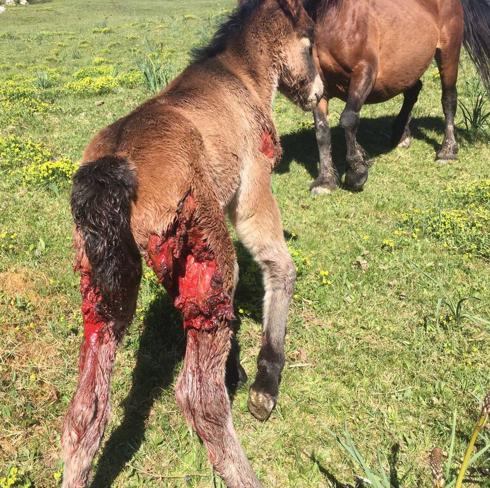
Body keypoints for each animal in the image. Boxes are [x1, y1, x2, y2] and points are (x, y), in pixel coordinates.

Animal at [61, 1, 324, 486]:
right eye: (311, 42)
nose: (318, 93)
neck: (239, 75)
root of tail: (115, 165)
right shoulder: (252, 186)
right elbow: (279, 263)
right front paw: (264, 384)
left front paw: (238, 365)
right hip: (208, 249)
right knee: (198, 397)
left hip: (104, 284)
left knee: (85, 411)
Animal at [302, 0, 490, 194]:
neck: (334, 18)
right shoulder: (318, 86)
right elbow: (322, 131)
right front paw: (325, 181)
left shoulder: (364, 72)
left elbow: (348, 119)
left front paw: (356, 174)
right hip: (407, 65)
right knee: (413, 90)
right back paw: (402, 135)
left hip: (448, 51)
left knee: (449, 98)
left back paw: (447, 151)